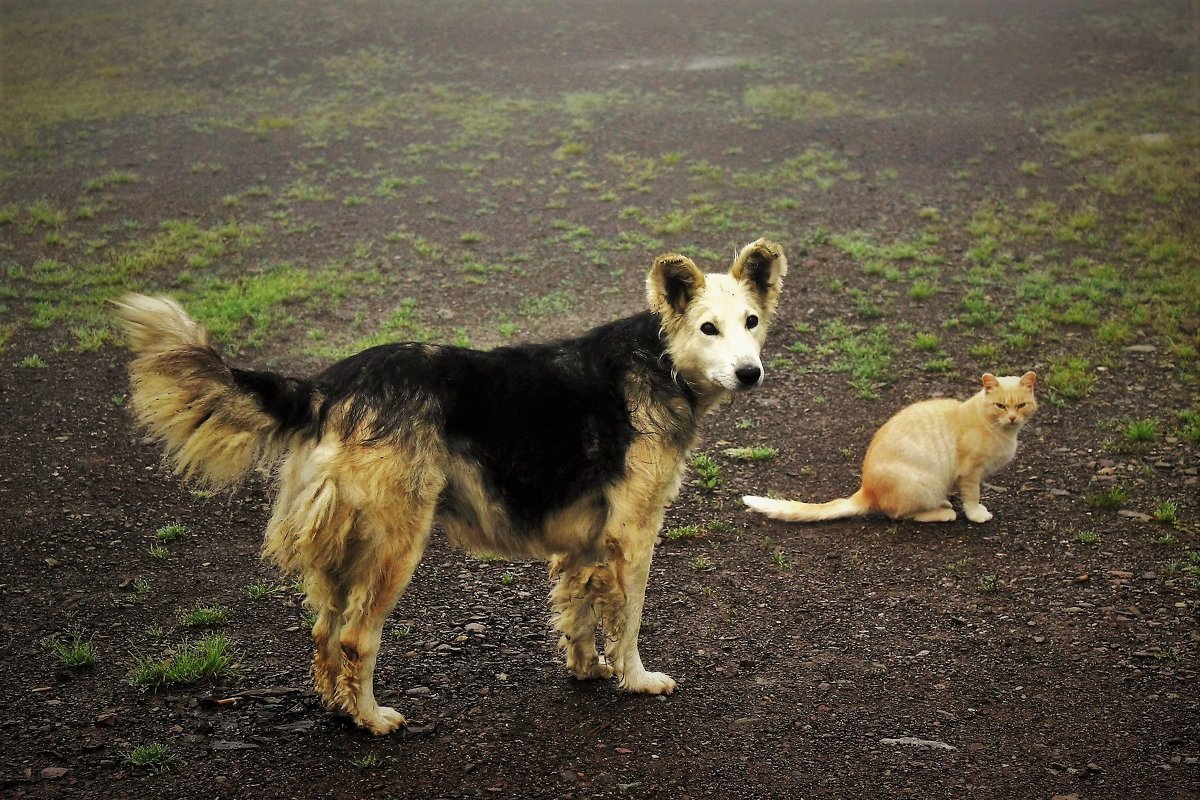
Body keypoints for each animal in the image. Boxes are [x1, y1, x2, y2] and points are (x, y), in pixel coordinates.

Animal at [112, 236, 787, 734]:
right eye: (708, 328)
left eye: (752, 322)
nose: (749, 373)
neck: (661, 357)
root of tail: (328, 386)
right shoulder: (633, 534)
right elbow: (628, 620)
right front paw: (637, 678)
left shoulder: (584, 542)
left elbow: (578, 612)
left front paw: (587, 671)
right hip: (395, 544)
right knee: (356, 638)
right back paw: (372, 720)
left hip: (341, 550)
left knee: (325, 633)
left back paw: (337, 708)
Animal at [744, 376, 1036, 525]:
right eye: (1000, 406)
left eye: (1021, 405)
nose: (1012, 418)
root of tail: (866, 489)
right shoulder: (970, 474)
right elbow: (972, 498)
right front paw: (976, 515)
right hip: (924, 483)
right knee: (902, 514)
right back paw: (943, 512)